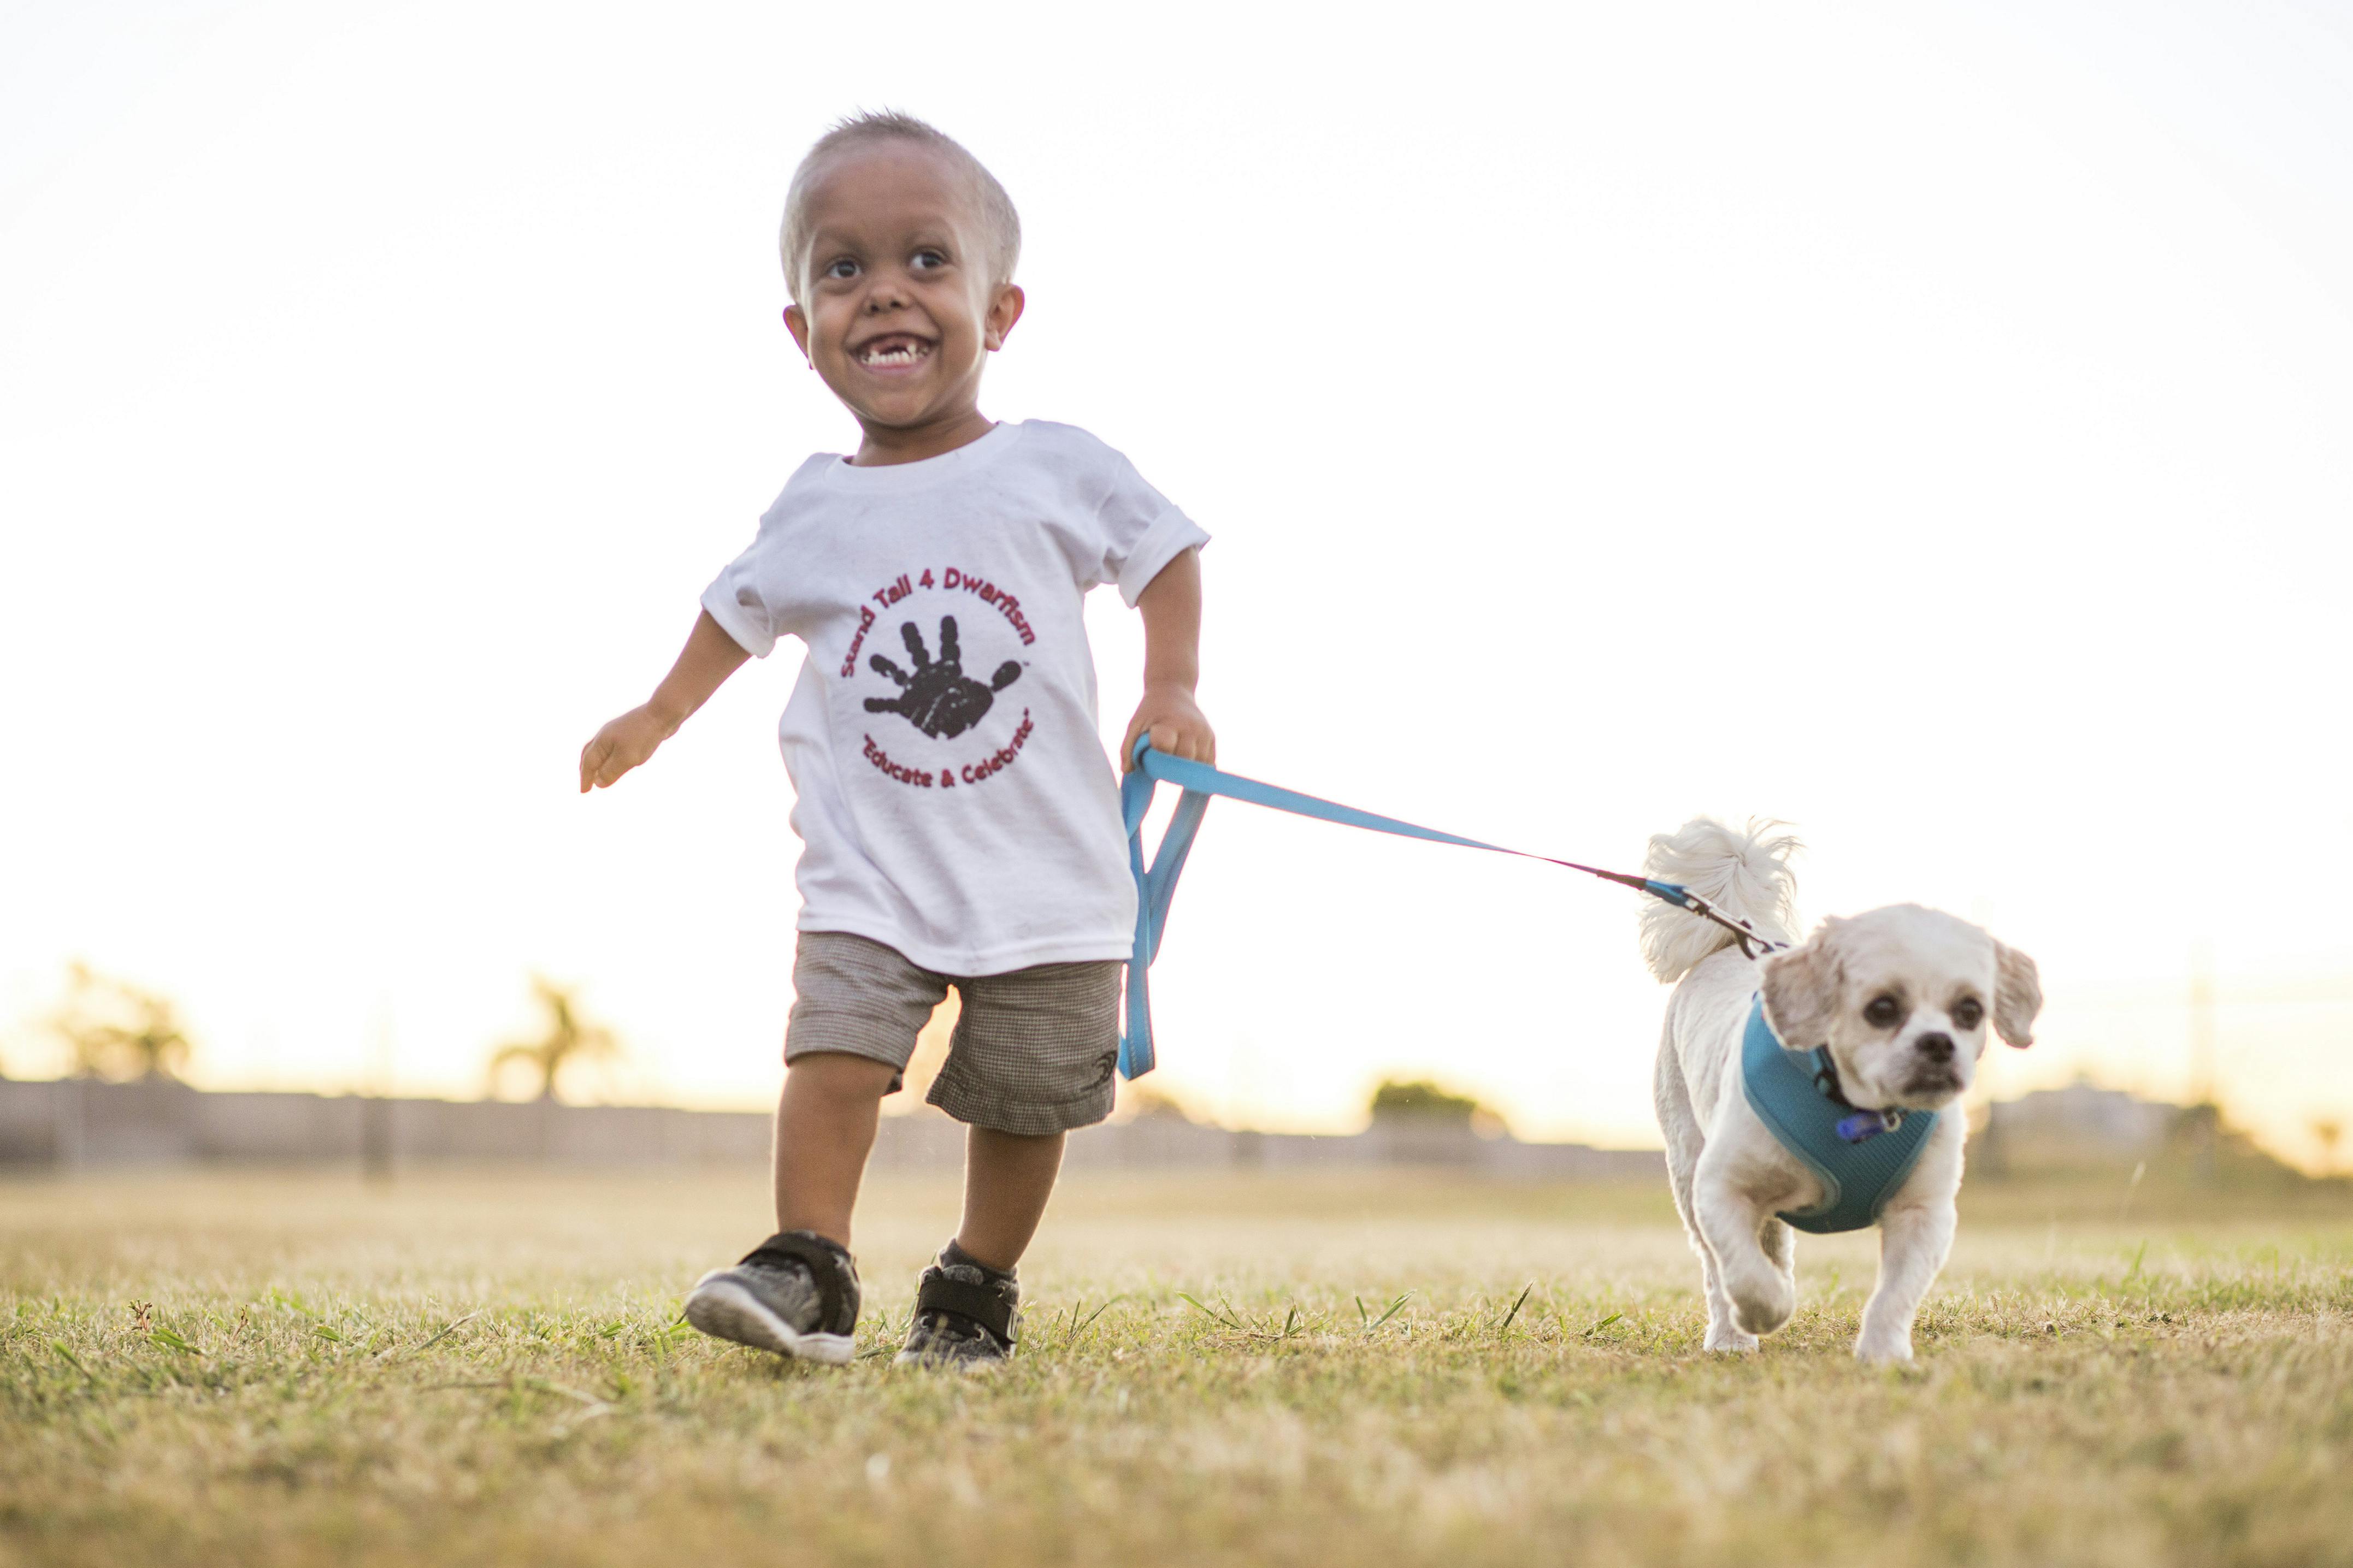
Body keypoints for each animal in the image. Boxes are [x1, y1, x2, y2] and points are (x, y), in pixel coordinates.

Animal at [1637, 823, 2042, 1363]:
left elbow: (1894, 1294)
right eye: (1882, 1008)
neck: (1854, 1110)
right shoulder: (1718, 1187)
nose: (1937, 1042)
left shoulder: (1922, 1213)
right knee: (1718, 1263)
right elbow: (1742, 1273)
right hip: (1686, 1163)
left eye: (1970, 1010)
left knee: (1772, 1241)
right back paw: (1729, 1336)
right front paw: (1763, 1312)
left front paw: (1883, 1353)